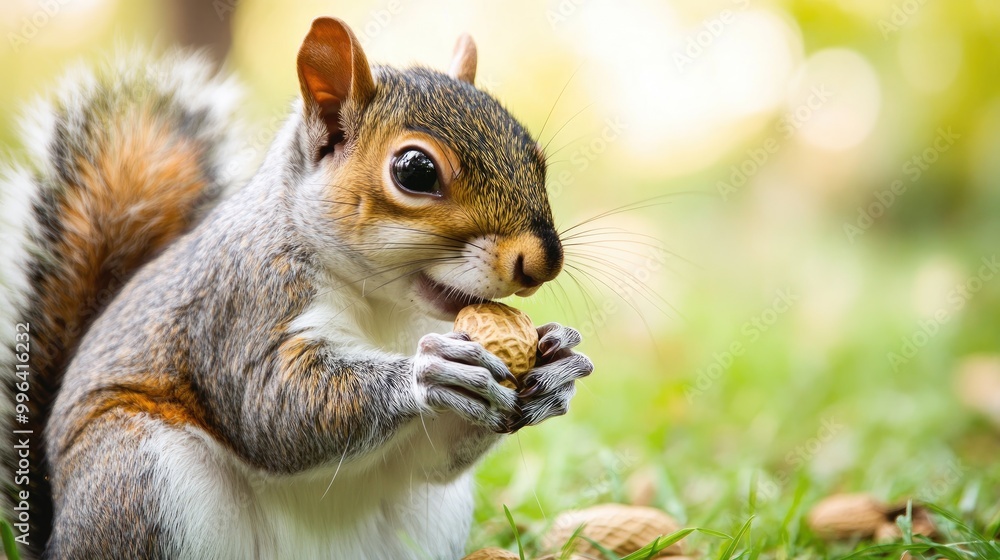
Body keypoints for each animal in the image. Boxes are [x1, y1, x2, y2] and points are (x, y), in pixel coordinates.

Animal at [0, 16, 593, 560]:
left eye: (536, 158)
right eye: (415, 171)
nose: (544, 261)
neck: (382, 305)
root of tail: (56, 536)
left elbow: (430, 458)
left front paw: (557, 365)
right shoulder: (241, 304)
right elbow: (272, 406)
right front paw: (429, 372)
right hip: (136, 474)